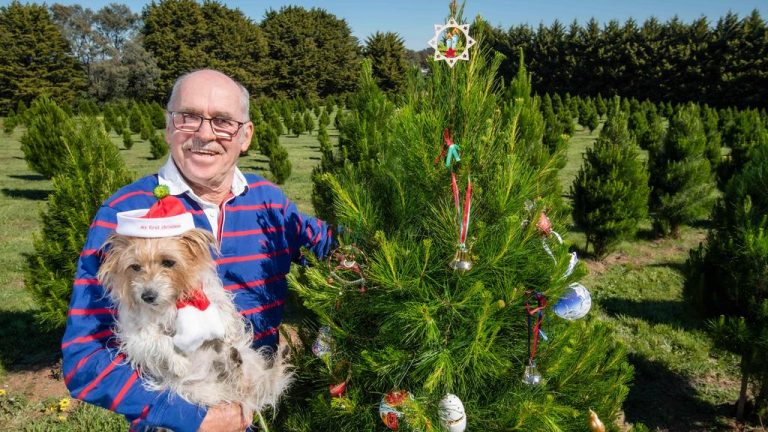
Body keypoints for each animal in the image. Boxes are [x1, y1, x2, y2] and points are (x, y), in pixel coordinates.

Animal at [97, 228, 294, 416]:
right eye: (135, 267)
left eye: (168, 262)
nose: (147, 296)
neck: (171, 302)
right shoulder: (136, 337)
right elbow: (159, 340)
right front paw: (178, 362)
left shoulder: (208, 292)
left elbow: (222, 308)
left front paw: (228, 330)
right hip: (200, 390)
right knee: (238, 384)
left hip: (249, 361)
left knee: (256, 381)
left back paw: (271, 360)